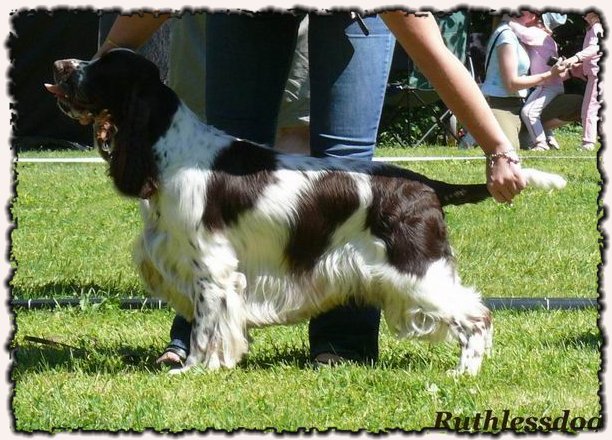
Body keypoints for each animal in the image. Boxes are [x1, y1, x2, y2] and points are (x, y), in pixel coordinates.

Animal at [46, 49, 566, 375]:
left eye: (101, 66)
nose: (60, 64)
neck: (168, 147)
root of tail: (426, 186)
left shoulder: (213, 269)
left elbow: (207, 328)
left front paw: (196, 369)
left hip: (415, 269)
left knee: (477, 315)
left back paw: (465, 375)